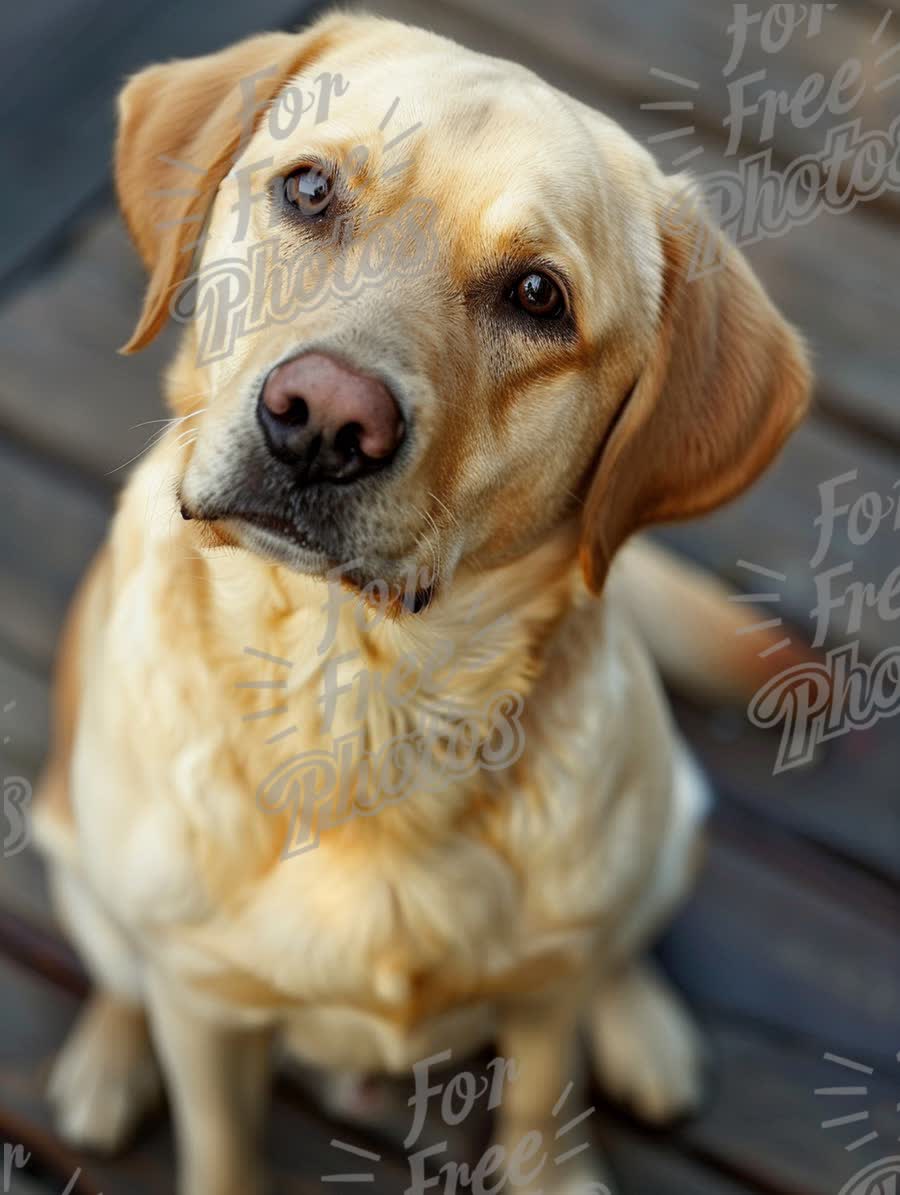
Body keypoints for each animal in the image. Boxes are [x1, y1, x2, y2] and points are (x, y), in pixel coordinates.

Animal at [33, 11, 807, 1195]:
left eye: (538, 296)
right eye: (308, 189)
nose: (321, 418)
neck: (362, 695)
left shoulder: (545, 1002)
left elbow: (540, 1095)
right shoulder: (203, 1010)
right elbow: (220, 1139)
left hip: (668, 821)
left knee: (615, 942)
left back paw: (644, 1025)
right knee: (123, 970)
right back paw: (106, 1060)